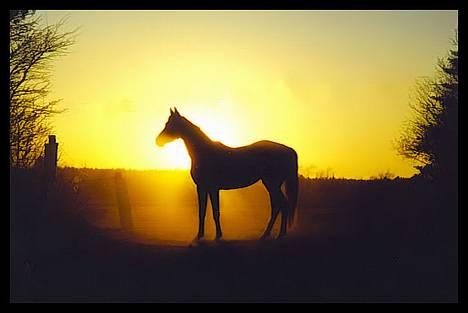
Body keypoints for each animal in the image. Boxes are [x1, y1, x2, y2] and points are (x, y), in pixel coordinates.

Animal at [155, 106, 298, 239]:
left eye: (170, 124)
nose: (158, 142)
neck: (204, 152)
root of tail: (289, 149)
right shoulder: (204, 188)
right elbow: (202, 212)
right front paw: (202, 234)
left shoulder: (211, 188)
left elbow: (215, 211)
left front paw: (217, 235)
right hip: (271, 185)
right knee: (278, 206)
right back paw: (268, 234)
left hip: (272, 184)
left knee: (282, 205)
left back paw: (278, 235)